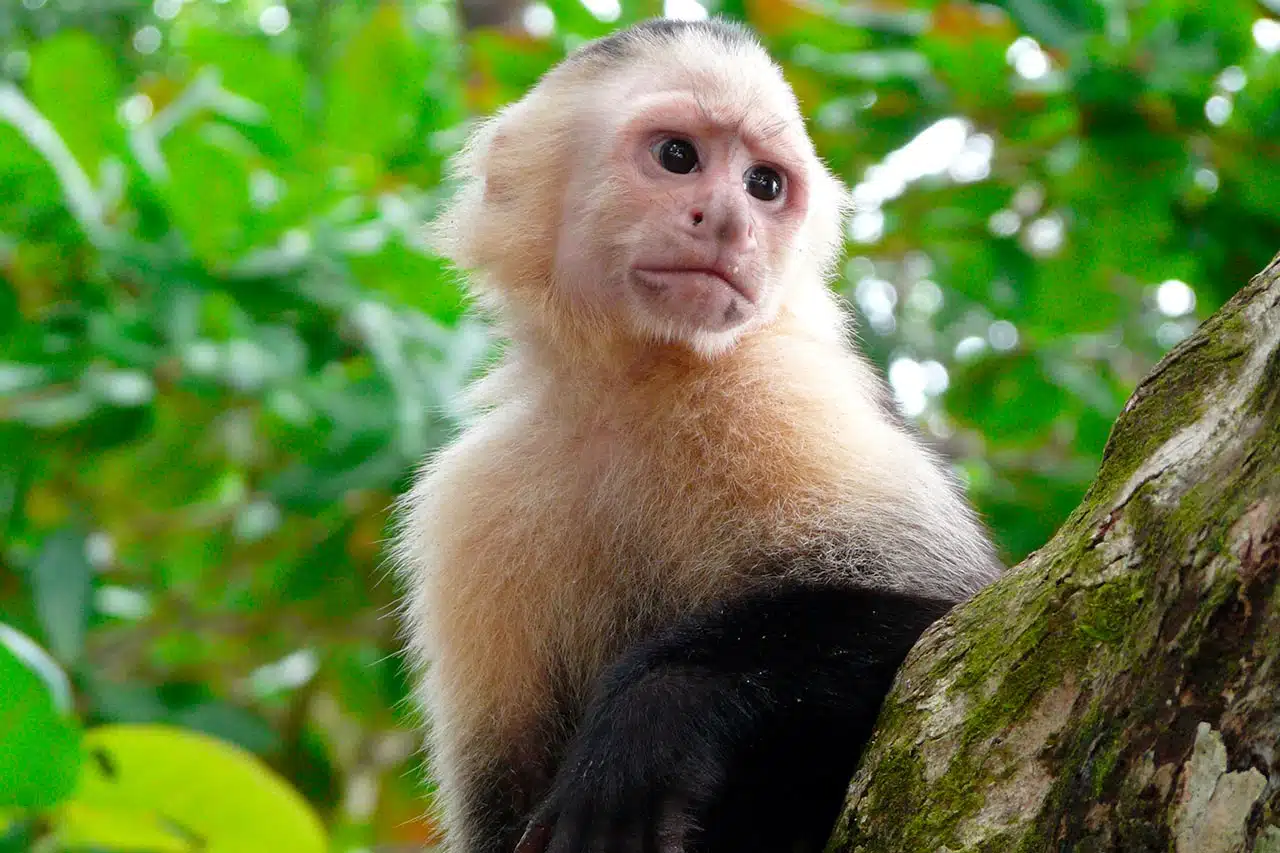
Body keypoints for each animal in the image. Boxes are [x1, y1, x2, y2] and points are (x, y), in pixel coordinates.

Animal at [389, 16, 998, 850]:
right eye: (678, 156)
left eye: (764, 185)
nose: (733, 223)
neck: (634, 386)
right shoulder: (467, 502)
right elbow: (499, 806)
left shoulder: (781, 393)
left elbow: (943, 618)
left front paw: (655, 715)